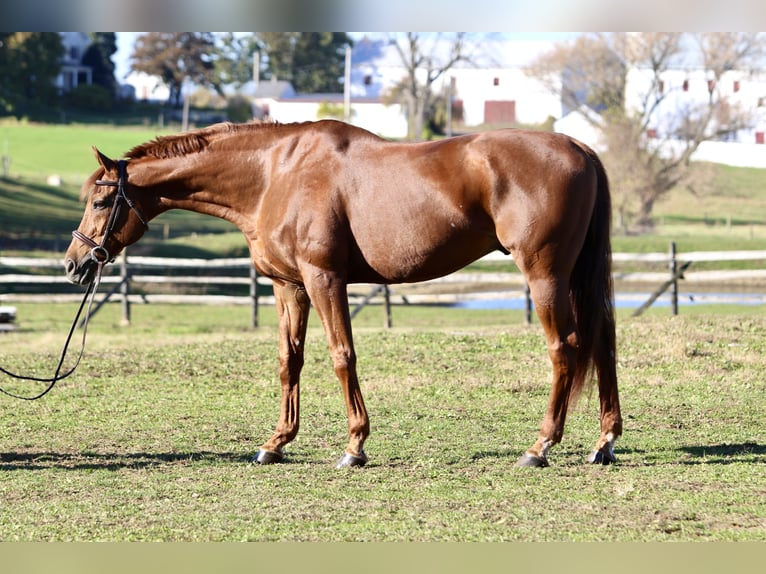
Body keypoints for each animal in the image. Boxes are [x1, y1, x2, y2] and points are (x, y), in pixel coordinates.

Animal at [64, 119, 622, 469]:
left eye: (100, 201)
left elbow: (341, 355)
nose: (74, 264)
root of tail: (582, 150)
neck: (274, 174)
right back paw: (605, 442)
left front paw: (355, 446)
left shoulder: (323, 279)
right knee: (602, 346)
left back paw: (540, 446)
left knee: (565, 349)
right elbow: (290, 361)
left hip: (545, 275)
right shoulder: (289, 286)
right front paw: (276, 443)